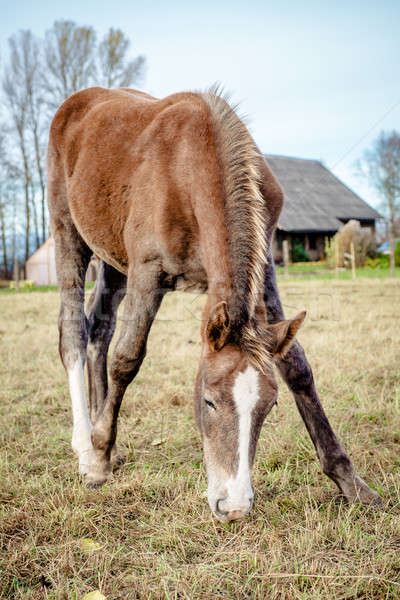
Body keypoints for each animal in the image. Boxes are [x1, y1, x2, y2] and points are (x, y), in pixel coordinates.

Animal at [46, 84, 378, 520]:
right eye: (208, 401)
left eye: (270, 406)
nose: (233, 506)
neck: (190, 168)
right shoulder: (149, 272)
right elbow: (127, 358)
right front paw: (98, 462)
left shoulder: (264, 268)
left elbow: (297, 365)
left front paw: (350, 481)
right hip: (69, 231)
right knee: (74, 332)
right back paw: (87, 444)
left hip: (115, 259)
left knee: (99, 328)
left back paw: (107, 437)